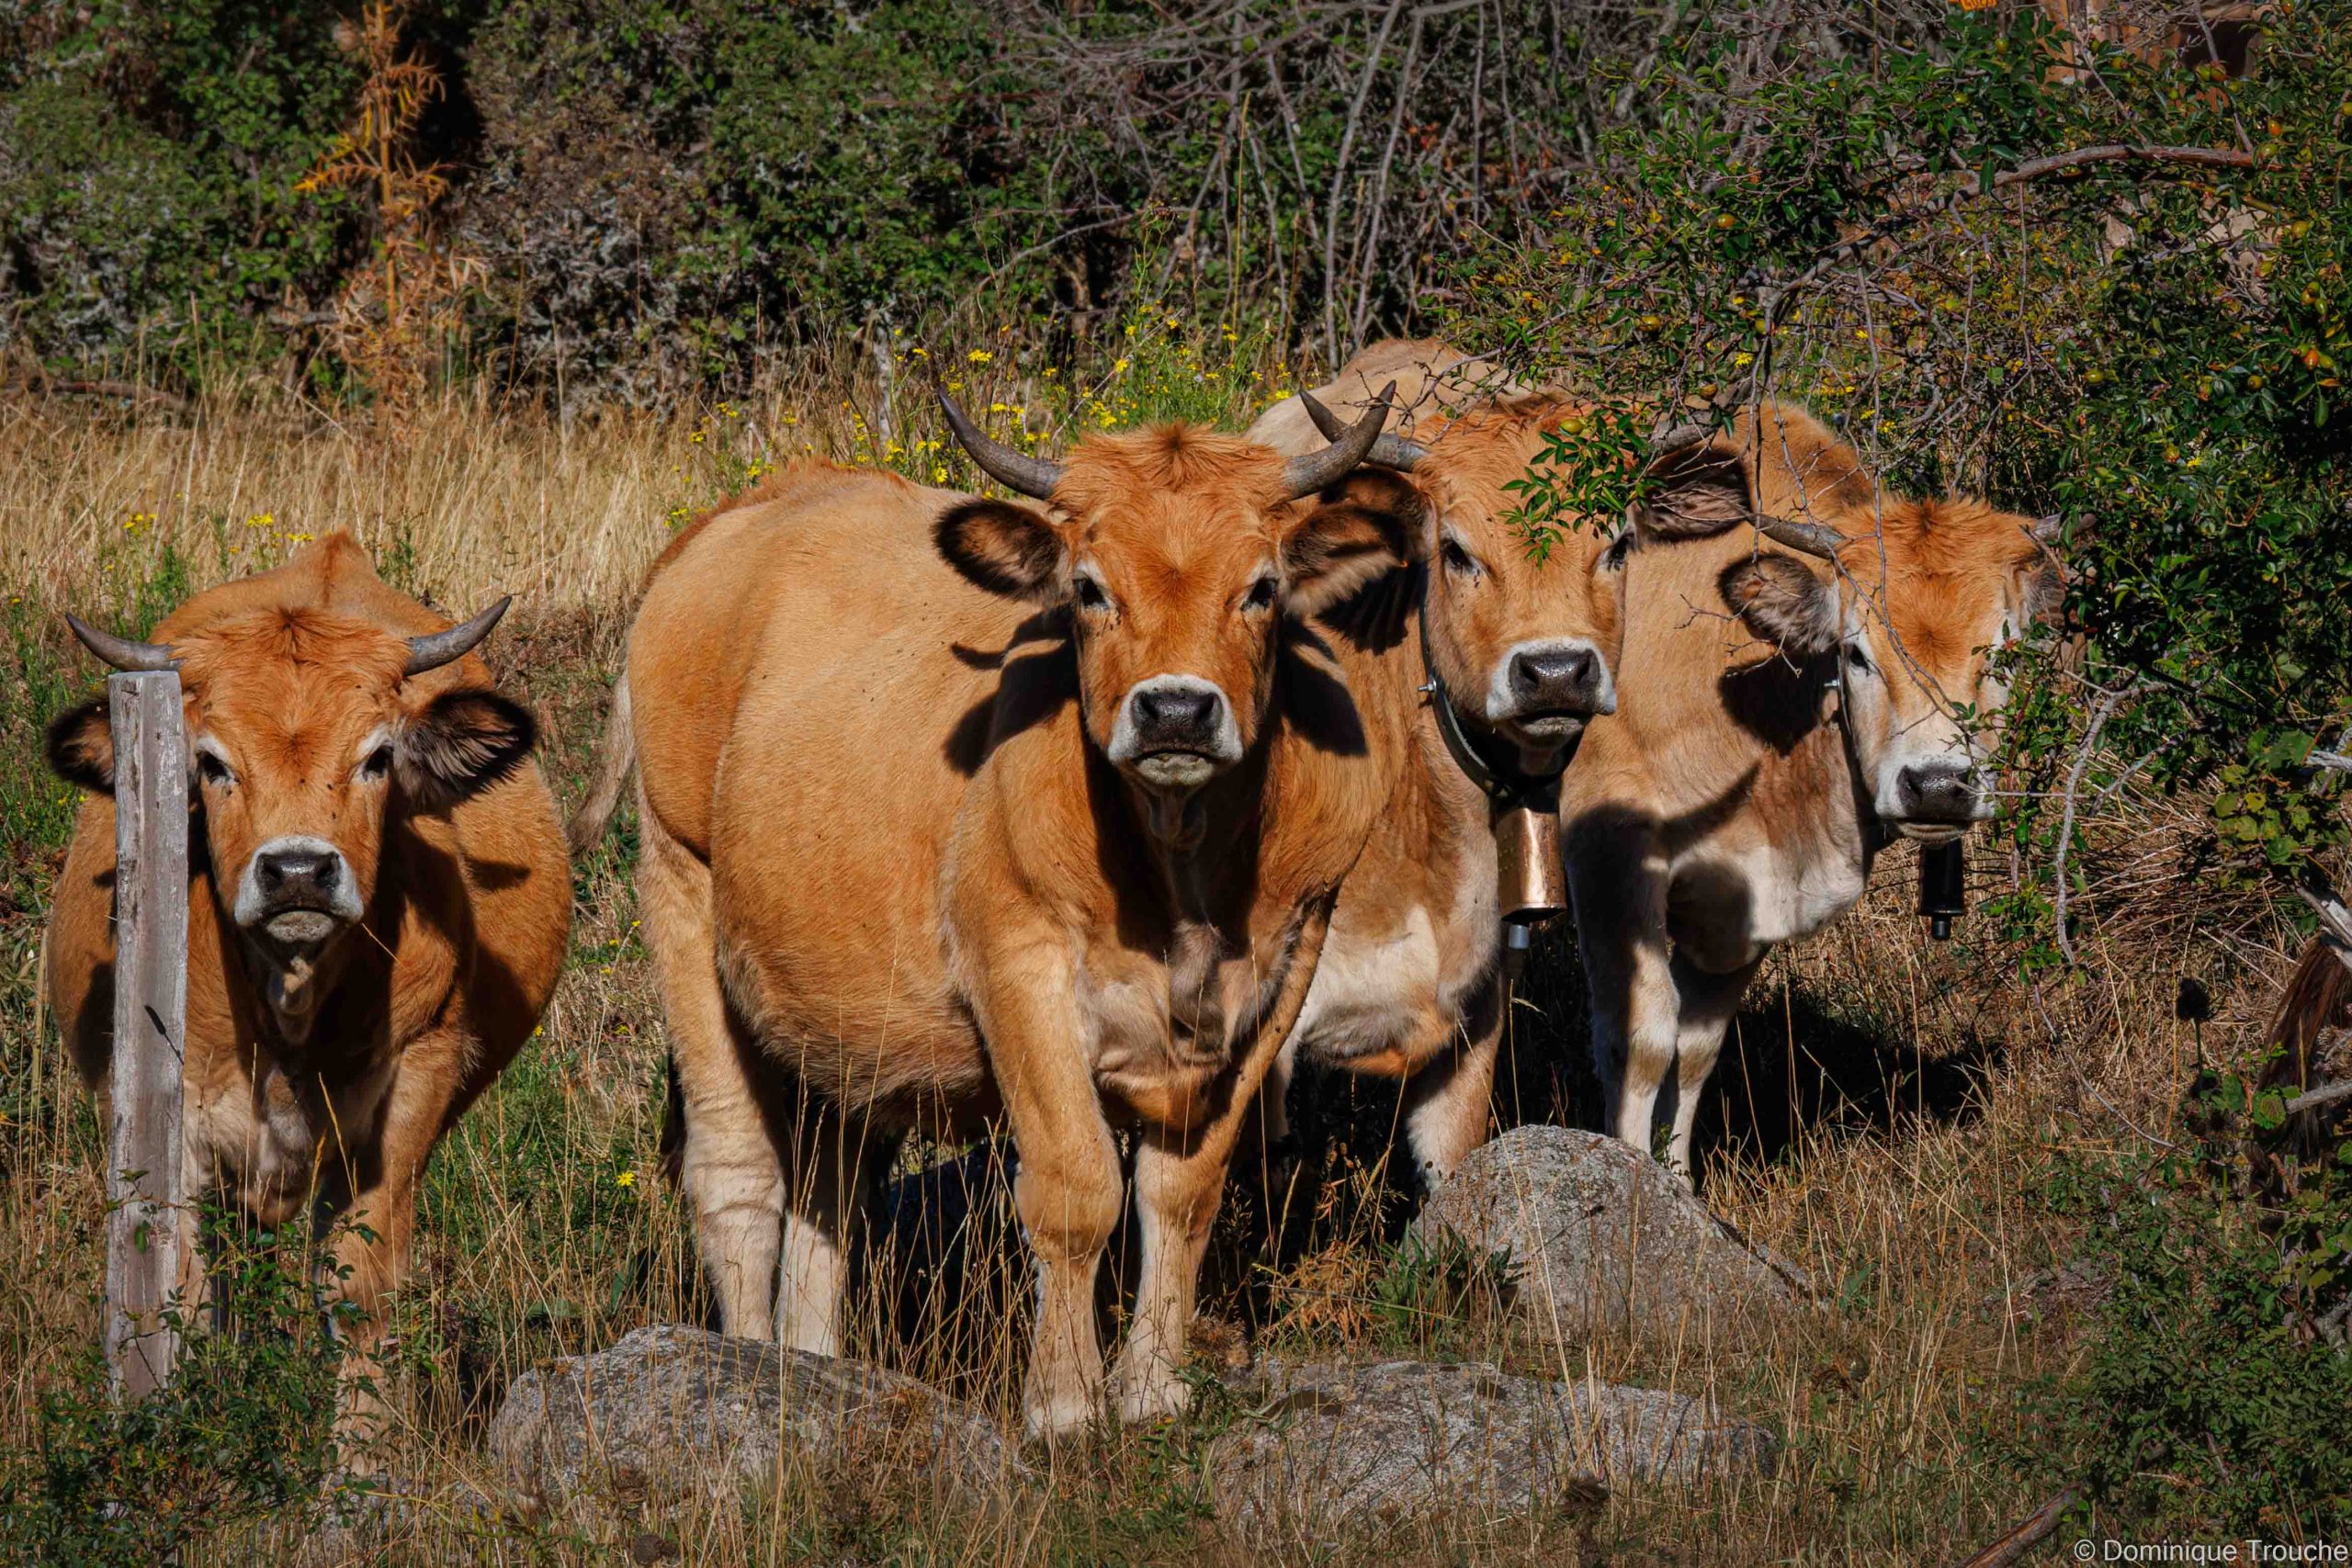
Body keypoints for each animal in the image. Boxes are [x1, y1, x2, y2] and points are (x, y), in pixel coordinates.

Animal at [42, 533, 570, 1437]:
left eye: (378, 756)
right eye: (211, 761)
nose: (296, 871)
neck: (288, 1005)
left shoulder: (407, 1098)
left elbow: (358, 1292)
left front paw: (359, 1462)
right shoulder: (165, 1116)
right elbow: (180, 1296)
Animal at [601, 398, 1410, 1438]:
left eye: (1262, 588)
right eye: (1089, 590)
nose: (1176, 710)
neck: (1181, 872)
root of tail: (754, 508)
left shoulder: (1284, 970)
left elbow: (1183, 1192)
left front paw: (1153, 1387)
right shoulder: (1018, 965)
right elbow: (1076, 1187)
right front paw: (1065, 1402)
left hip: (835, 1012)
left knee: (829, 1187)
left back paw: (813, 1362)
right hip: (680, 886)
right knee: (737, 1172)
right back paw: (746, 1365)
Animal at [1563, 404, 2065, 1178]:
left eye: (2003, 654)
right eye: (1856, 653)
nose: (1937, 785)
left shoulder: (1747, 900)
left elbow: (1696, 1051)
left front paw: (1678, 1184)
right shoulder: (1609, 855)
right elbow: (1641, 1042)